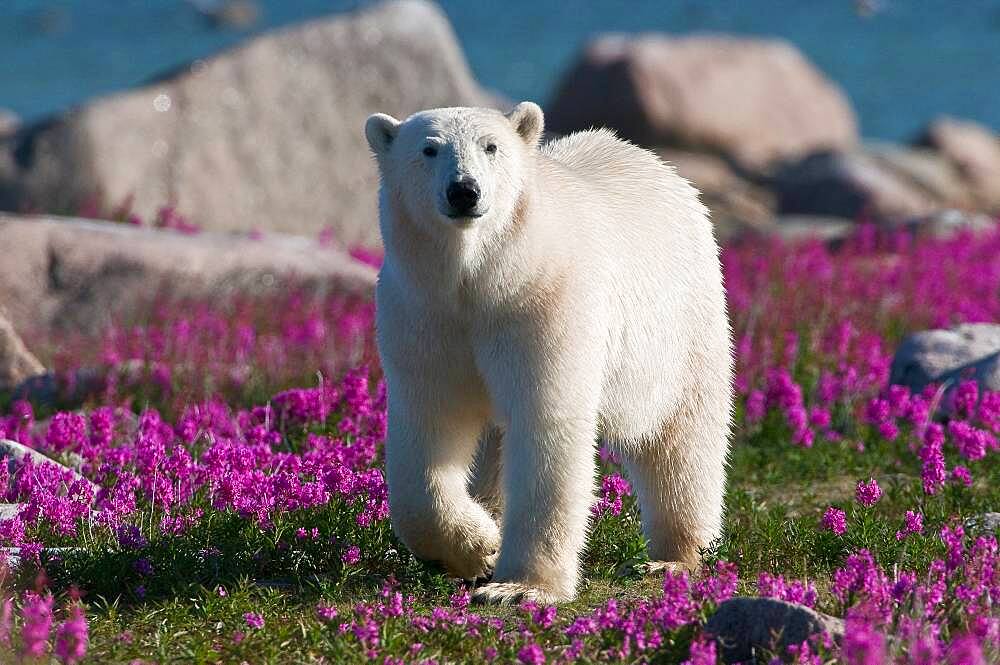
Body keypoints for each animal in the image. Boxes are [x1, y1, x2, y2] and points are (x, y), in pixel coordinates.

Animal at [364, 102, 732, 600]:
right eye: (428, 149)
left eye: (491, 146)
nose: (464, 191)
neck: (482, 281)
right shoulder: (424, 315)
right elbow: (429, 427)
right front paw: (477, 548)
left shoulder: (542, 302)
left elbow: (546, 423)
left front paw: (520, 587)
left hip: (683, 327)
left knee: (680, 436)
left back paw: (672, 557)